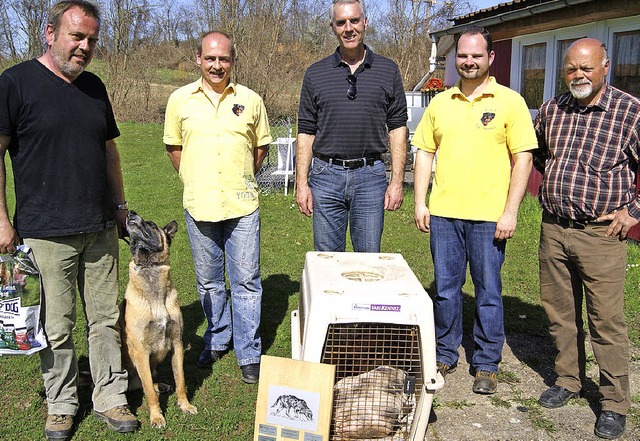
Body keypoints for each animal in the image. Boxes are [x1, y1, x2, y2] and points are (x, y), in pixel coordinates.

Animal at [120, 210, 198, 426]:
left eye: (151, 224)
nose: (130, 212)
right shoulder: (141, 353)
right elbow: (149, 393)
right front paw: (156, 416)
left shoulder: (177, 344)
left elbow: (181, 381)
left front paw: (185, 405)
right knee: (140, 384)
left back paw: (160, 385)